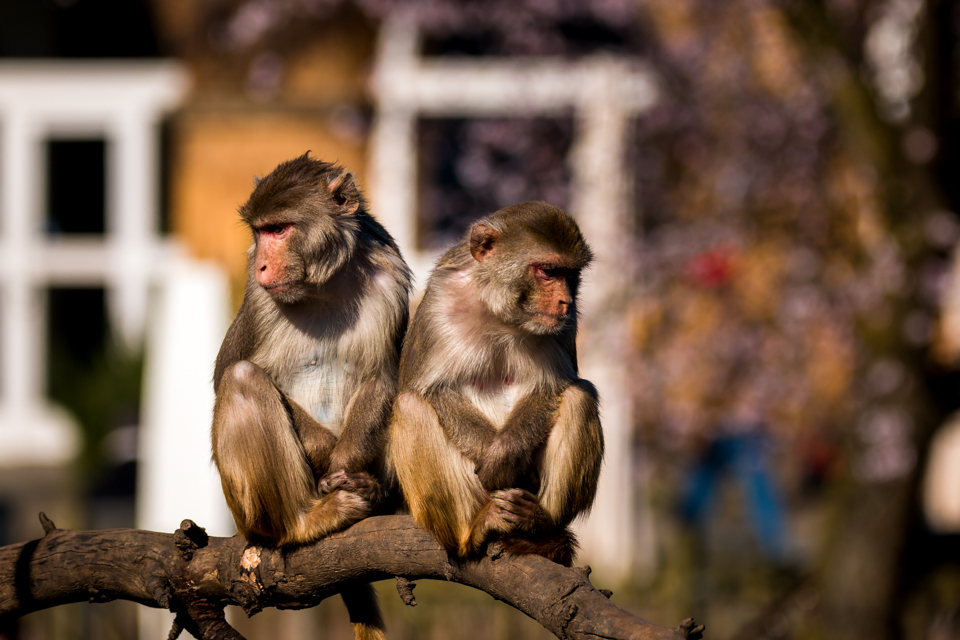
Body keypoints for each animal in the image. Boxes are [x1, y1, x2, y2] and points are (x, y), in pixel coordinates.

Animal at [212, 154, 410, 640]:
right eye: (260, 232)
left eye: (280, 229)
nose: (264, 266)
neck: (324, 284)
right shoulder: (257, 298)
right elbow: (228, 369)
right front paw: (330, 462)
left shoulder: (391, 275)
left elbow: (382, 376)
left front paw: (346, 467)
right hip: (248, 515)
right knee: (242, 379)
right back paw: (306, 521)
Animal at [388, 200, 600, 564]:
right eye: (548, 271)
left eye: (570, 275)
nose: (566, 301)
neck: (501, 313)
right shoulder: (440, 302)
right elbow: (432, 389)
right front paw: (497, 459)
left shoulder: (565, 325)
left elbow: (552, 387)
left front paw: (505, 456)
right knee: (410, 406)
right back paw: (472, 534)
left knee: (579, 396)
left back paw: (538, 526)